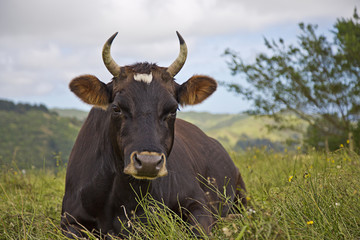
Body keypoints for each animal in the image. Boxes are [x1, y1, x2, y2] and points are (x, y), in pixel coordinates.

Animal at [61, 31, 248, 238]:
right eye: (116, 108)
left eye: (173, 109)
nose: (148, 162)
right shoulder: (70, 220)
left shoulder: (197, 201)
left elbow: (199, 231)